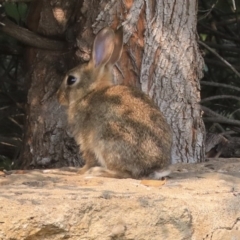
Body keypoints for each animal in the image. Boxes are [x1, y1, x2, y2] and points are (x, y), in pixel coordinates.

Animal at [57, 27, 172, 179]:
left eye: (71, 79)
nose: (59, 97)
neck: (89, 92)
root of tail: (155, 168)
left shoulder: (86, 141)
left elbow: (89, 158)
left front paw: (81, 171)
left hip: (107, 141)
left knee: (125, 173)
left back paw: (97, 171)